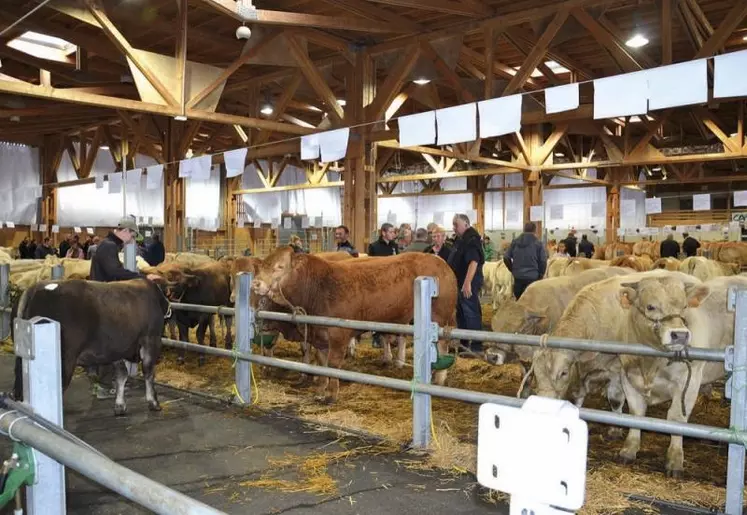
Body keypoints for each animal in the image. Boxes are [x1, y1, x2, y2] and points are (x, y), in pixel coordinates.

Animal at [254, 249, 458, 404]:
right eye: (263, 265)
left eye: (279, 266)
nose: (256, 283)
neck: (318, 288)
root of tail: (440, 261)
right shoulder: (319, 337)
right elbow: (321, 363)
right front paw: (320, 390)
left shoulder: (338, 334)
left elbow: (333, 364)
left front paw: (331, 394)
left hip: (440, 317)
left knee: (442, 345)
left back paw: (438, 378)